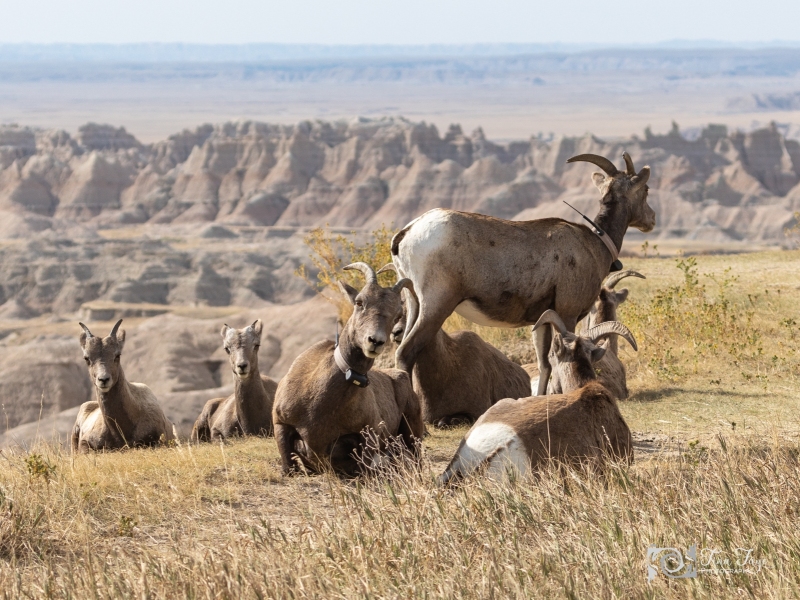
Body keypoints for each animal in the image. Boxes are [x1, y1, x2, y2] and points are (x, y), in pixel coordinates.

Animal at [272, 262, 424, 476]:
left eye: (398, 315)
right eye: (359, 302)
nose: (375, 341)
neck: (317, 402)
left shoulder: (367, 437)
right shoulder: (281, 424)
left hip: (412, 431)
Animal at [391, 152, 655, 397]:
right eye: (646, 189)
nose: (651, 220)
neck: (595, 244)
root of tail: (407, 232)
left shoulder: (541, 322)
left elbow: (545, 364)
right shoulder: (567, 314)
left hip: (414, 303)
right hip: (437, 304)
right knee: (406, 352)